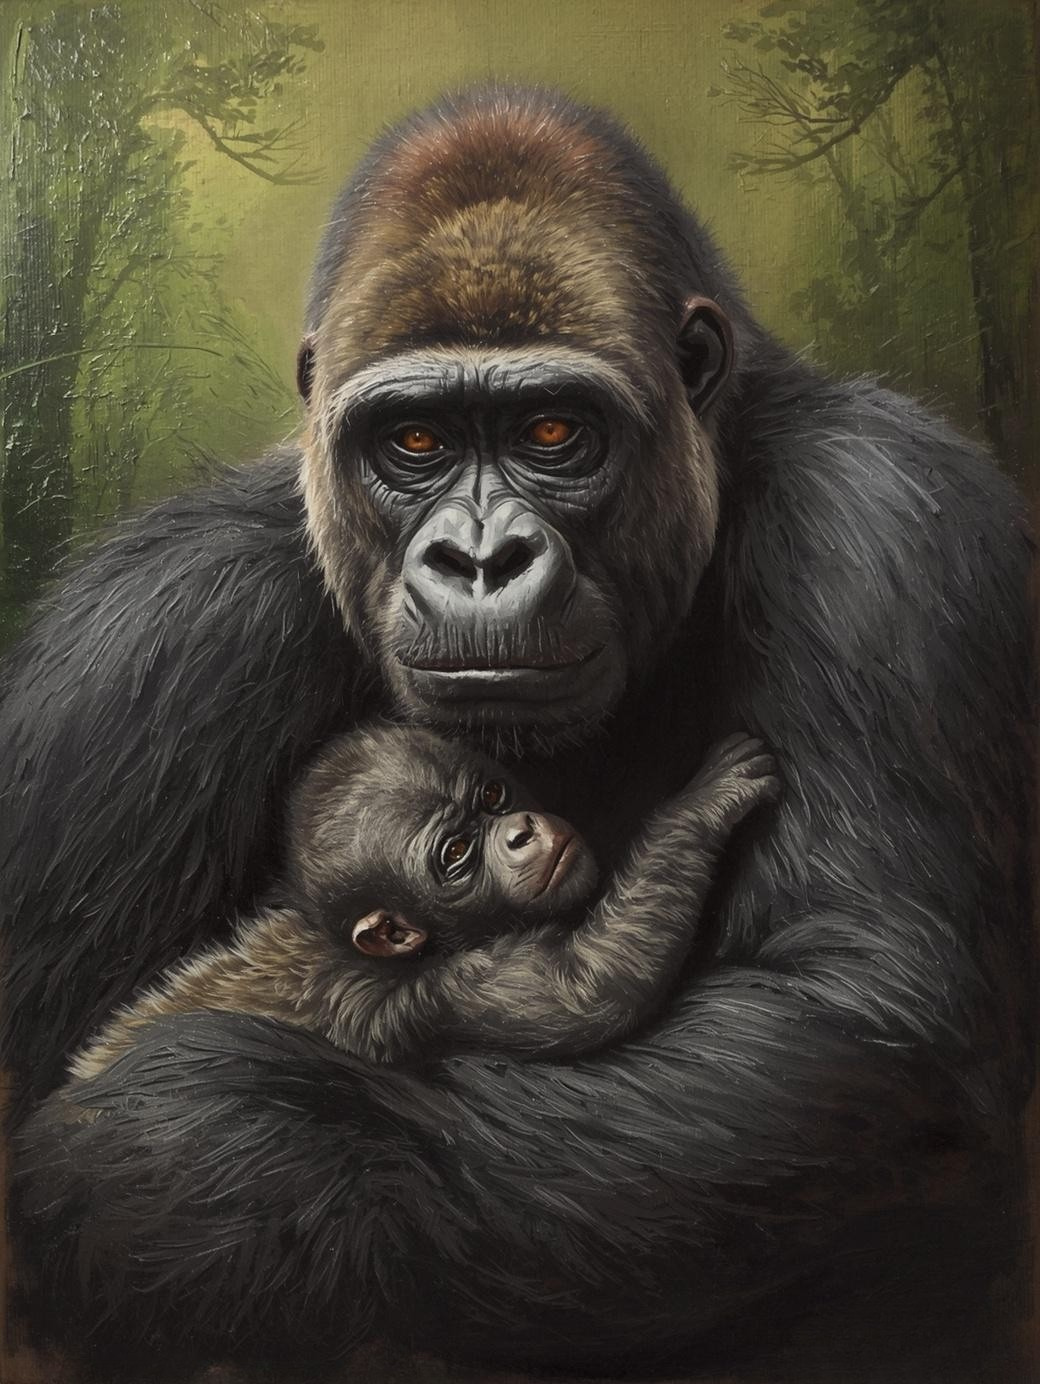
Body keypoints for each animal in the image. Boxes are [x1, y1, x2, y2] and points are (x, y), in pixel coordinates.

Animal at [70, 726, 778, 1077]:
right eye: (457, 853)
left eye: (492, 796)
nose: (521, 831)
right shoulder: (445, 990)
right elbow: (597, 983)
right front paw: (698, 806)